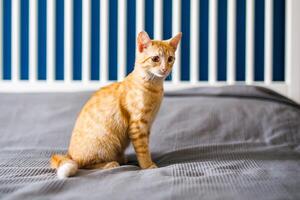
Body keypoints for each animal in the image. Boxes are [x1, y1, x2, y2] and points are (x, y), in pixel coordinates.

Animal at [50, 30, 182, 178]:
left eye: (170, 59)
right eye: (155, 59)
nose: (165, 69)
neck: (154, 87)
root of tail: (69, 154)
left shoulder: (147, 125)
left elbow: (145, 145)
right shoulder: (138, 125)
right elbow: (142, 149)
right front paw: (147, 165)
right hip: (105, 141)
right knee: (83, 164)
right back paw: (110, 164)